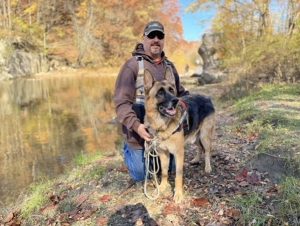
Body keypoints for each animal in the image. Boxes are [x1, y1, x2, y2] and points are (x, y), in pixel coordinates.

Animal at [144, 67, 216, 203]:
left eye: (172, 90)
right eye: (160, 93)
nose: (175, 100)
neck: (164, 124)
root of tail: (207, 98)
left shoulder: (178, 153)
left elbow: (178, 175)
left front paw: (178, 194)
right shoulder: (163, 153)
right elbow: (164, 172)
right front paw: (162, 187)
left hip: (204, 136)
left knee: (207, 151)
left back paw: (208, 167)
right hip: (195, 137)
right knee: (199, 148)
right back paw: (196, 159)